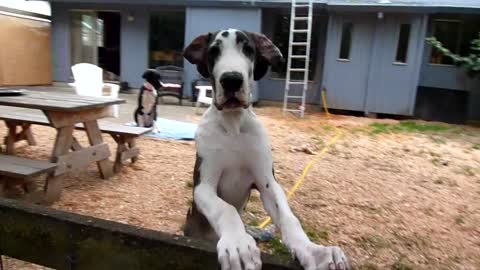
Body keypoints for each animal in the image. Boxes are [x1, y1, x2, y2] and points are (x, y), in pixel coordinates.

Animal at [183, 28, 348, 268]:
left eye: (248, 49)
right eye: (214, 51)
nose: (231, 80)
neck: (234, 125)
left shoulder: (267, 182)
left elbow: (288, 217)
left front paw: (315, 252)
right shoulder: (203, 186)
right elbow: (226, 209)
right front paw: (238, 244)